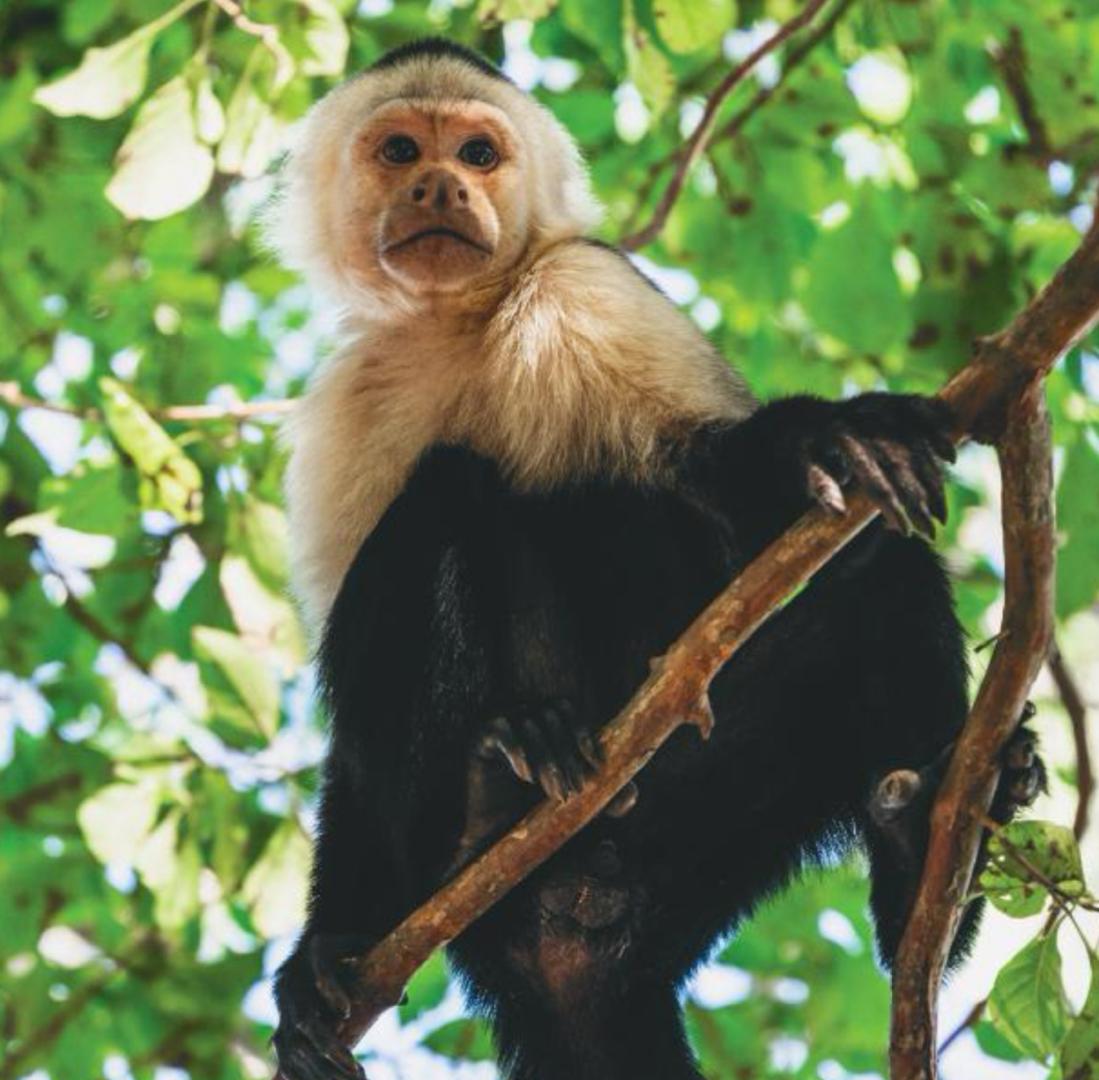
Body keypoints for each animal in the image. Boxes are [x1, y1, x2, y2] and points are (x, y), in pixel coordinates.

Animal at [268, 35, 1046, 1080]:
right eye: (399, 151)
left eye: (476, 154)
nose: (438, 185)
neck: (460, 321)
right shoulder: (349, 399)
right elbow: (348, 741)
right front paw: (320, 957)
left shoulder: (587, 287)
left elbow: (731, 506)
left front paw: (823, 442)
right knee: (442, 499)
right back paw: (488, 786)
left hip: (698, 825)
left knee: (871, 581)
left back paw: (923, 855)